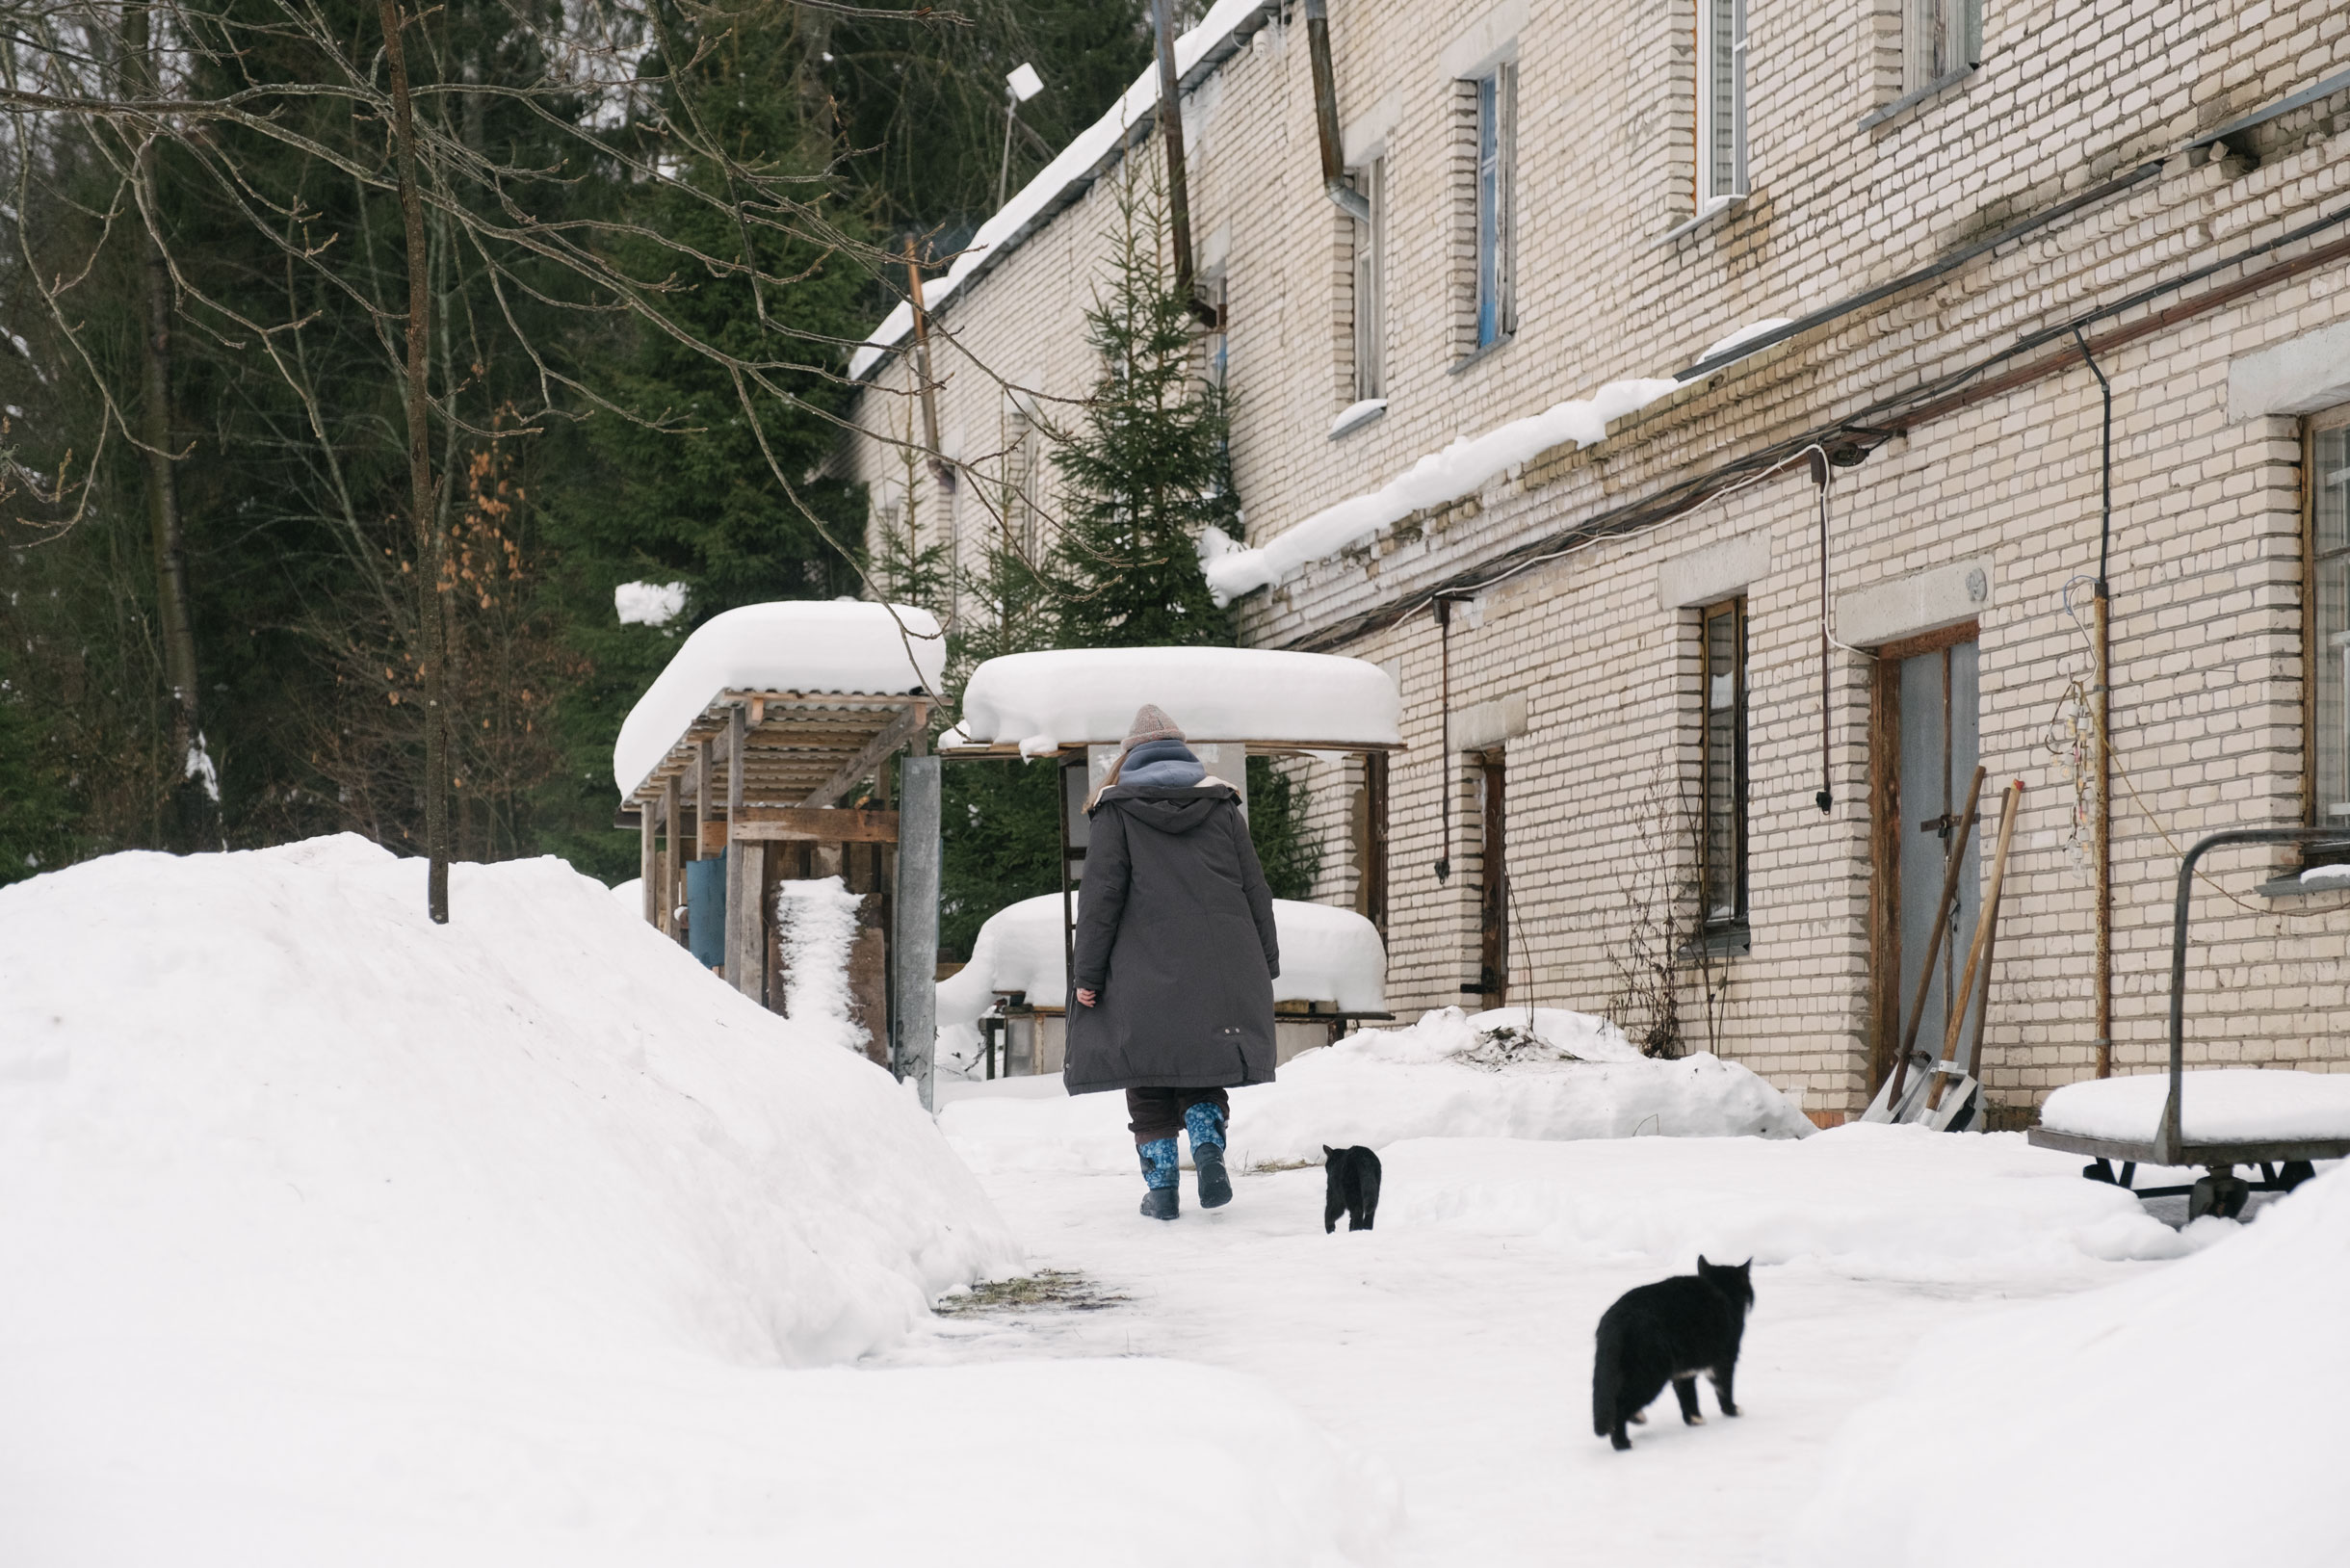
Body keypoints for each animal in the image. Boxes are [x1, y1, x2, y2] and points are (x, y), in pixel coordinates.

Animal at [1588, 1260, 1758, 1457]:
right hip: (1651, 1373)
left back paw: (1636, 1420)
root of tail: (1616, 1319)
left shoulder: (1683, 1370)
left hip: (1624, 1368)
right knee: (1621, 1405)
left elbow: (1687, 1394)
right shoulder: (1725, 1358)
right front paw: (1732, 1410)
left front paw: (1694, 1419)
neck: (1720, 1287)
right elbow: (1724, 1388)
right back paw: (1623, 1443)